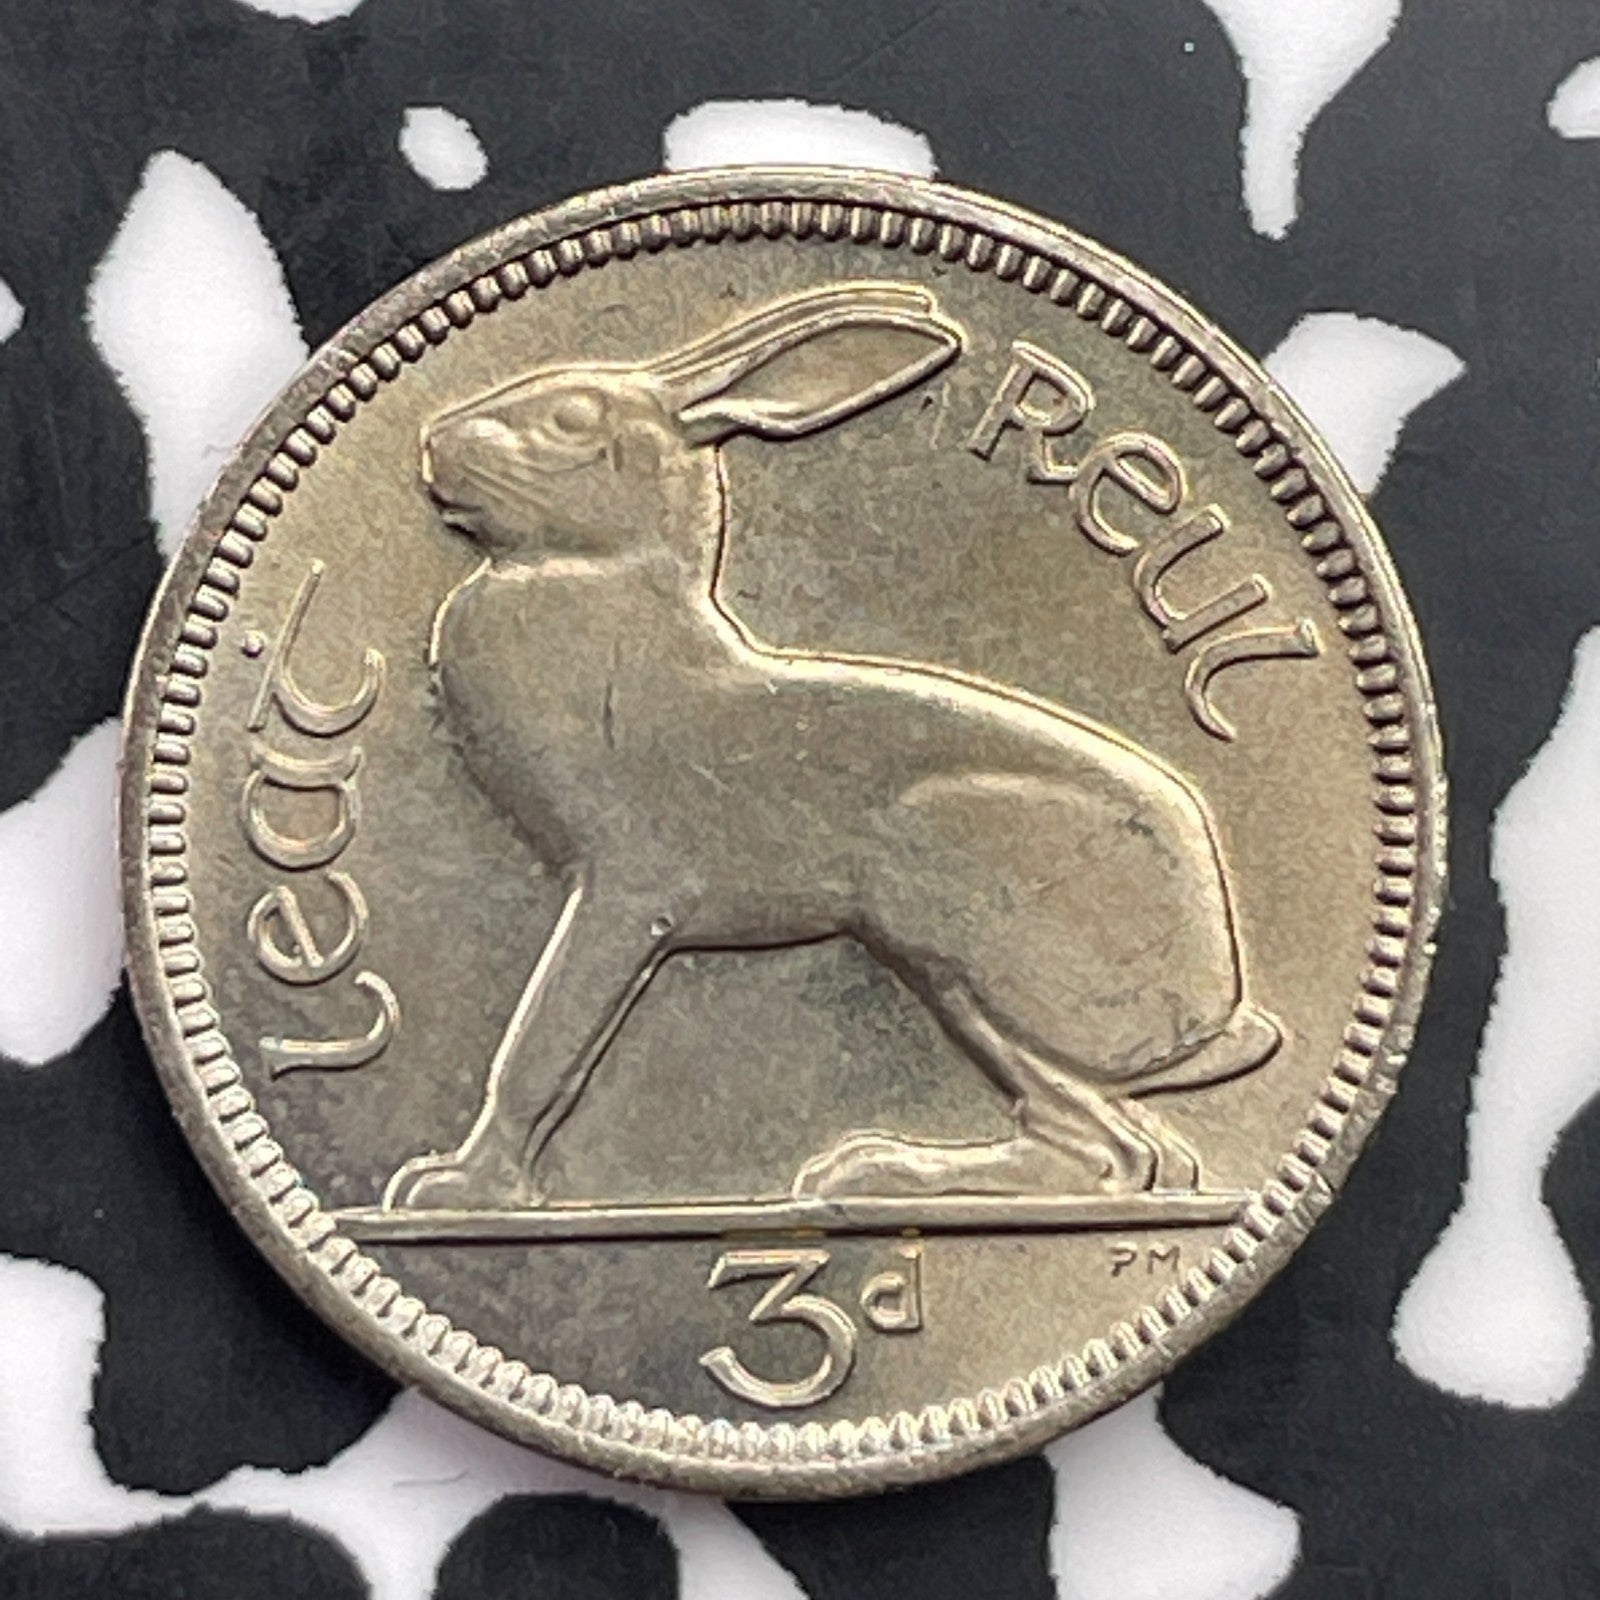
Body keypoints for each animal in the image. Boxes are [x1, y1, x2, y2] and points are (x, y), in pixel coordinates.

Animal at [382, 281, 1282, 1213]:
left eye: (571, 416)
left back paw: (878, 1172)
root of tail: (1218, 984)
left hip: (951, 911)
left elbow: (542, 1043)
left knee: (1114, 1153)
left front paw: (460, 1186)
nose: (435, 449)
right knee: (1137, 1150)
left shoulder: (628, 886)